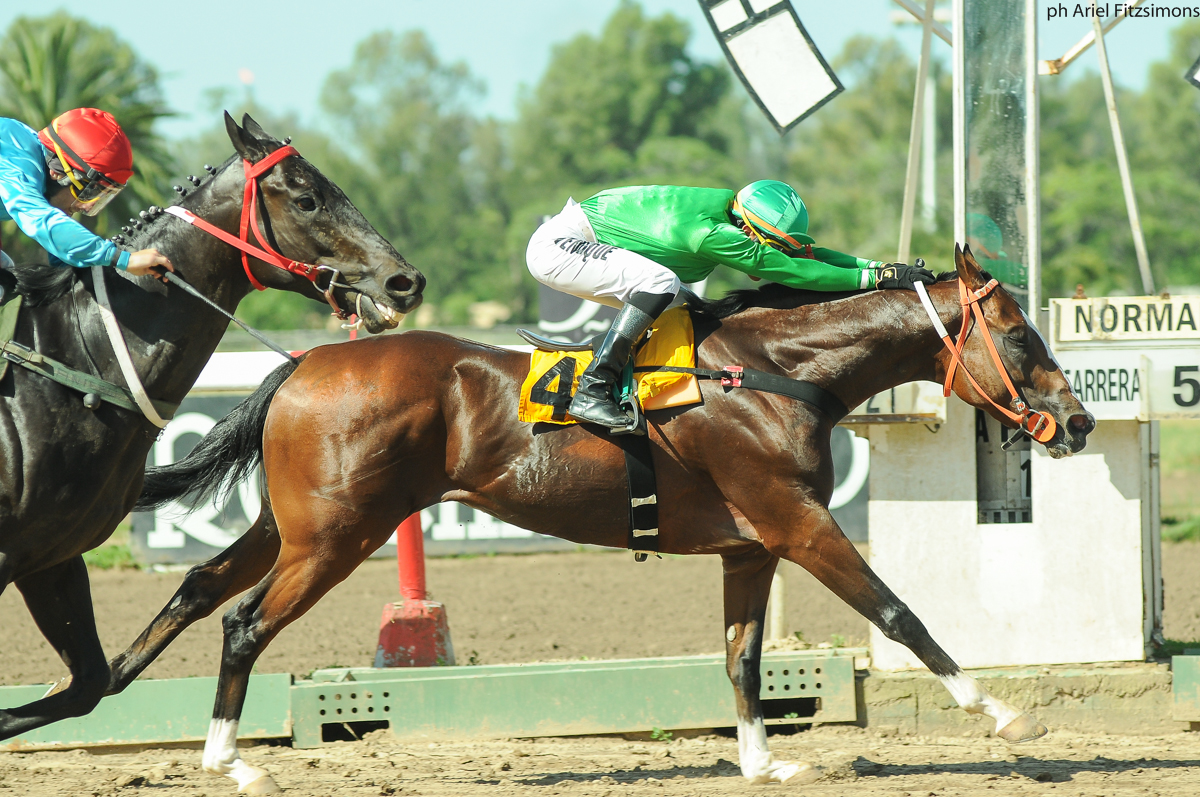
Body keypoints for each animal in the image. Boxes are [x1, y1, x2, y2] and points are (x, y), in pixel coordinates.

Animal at [117, 245, 1092, 792]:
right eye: (1019, 335)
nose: (1076, 421)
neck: (776, 371)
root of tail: (307, 362)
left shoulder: (752, 547)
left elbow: (742, 656)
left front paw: (763, 760)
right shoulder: (798, 522)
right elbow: (900, 612)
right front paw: (1006, 716)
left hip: (292, 527)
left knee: (200, 587)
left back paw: (102, 688)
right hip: (336, 535)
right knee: (244, 623)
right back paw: (228, 759)